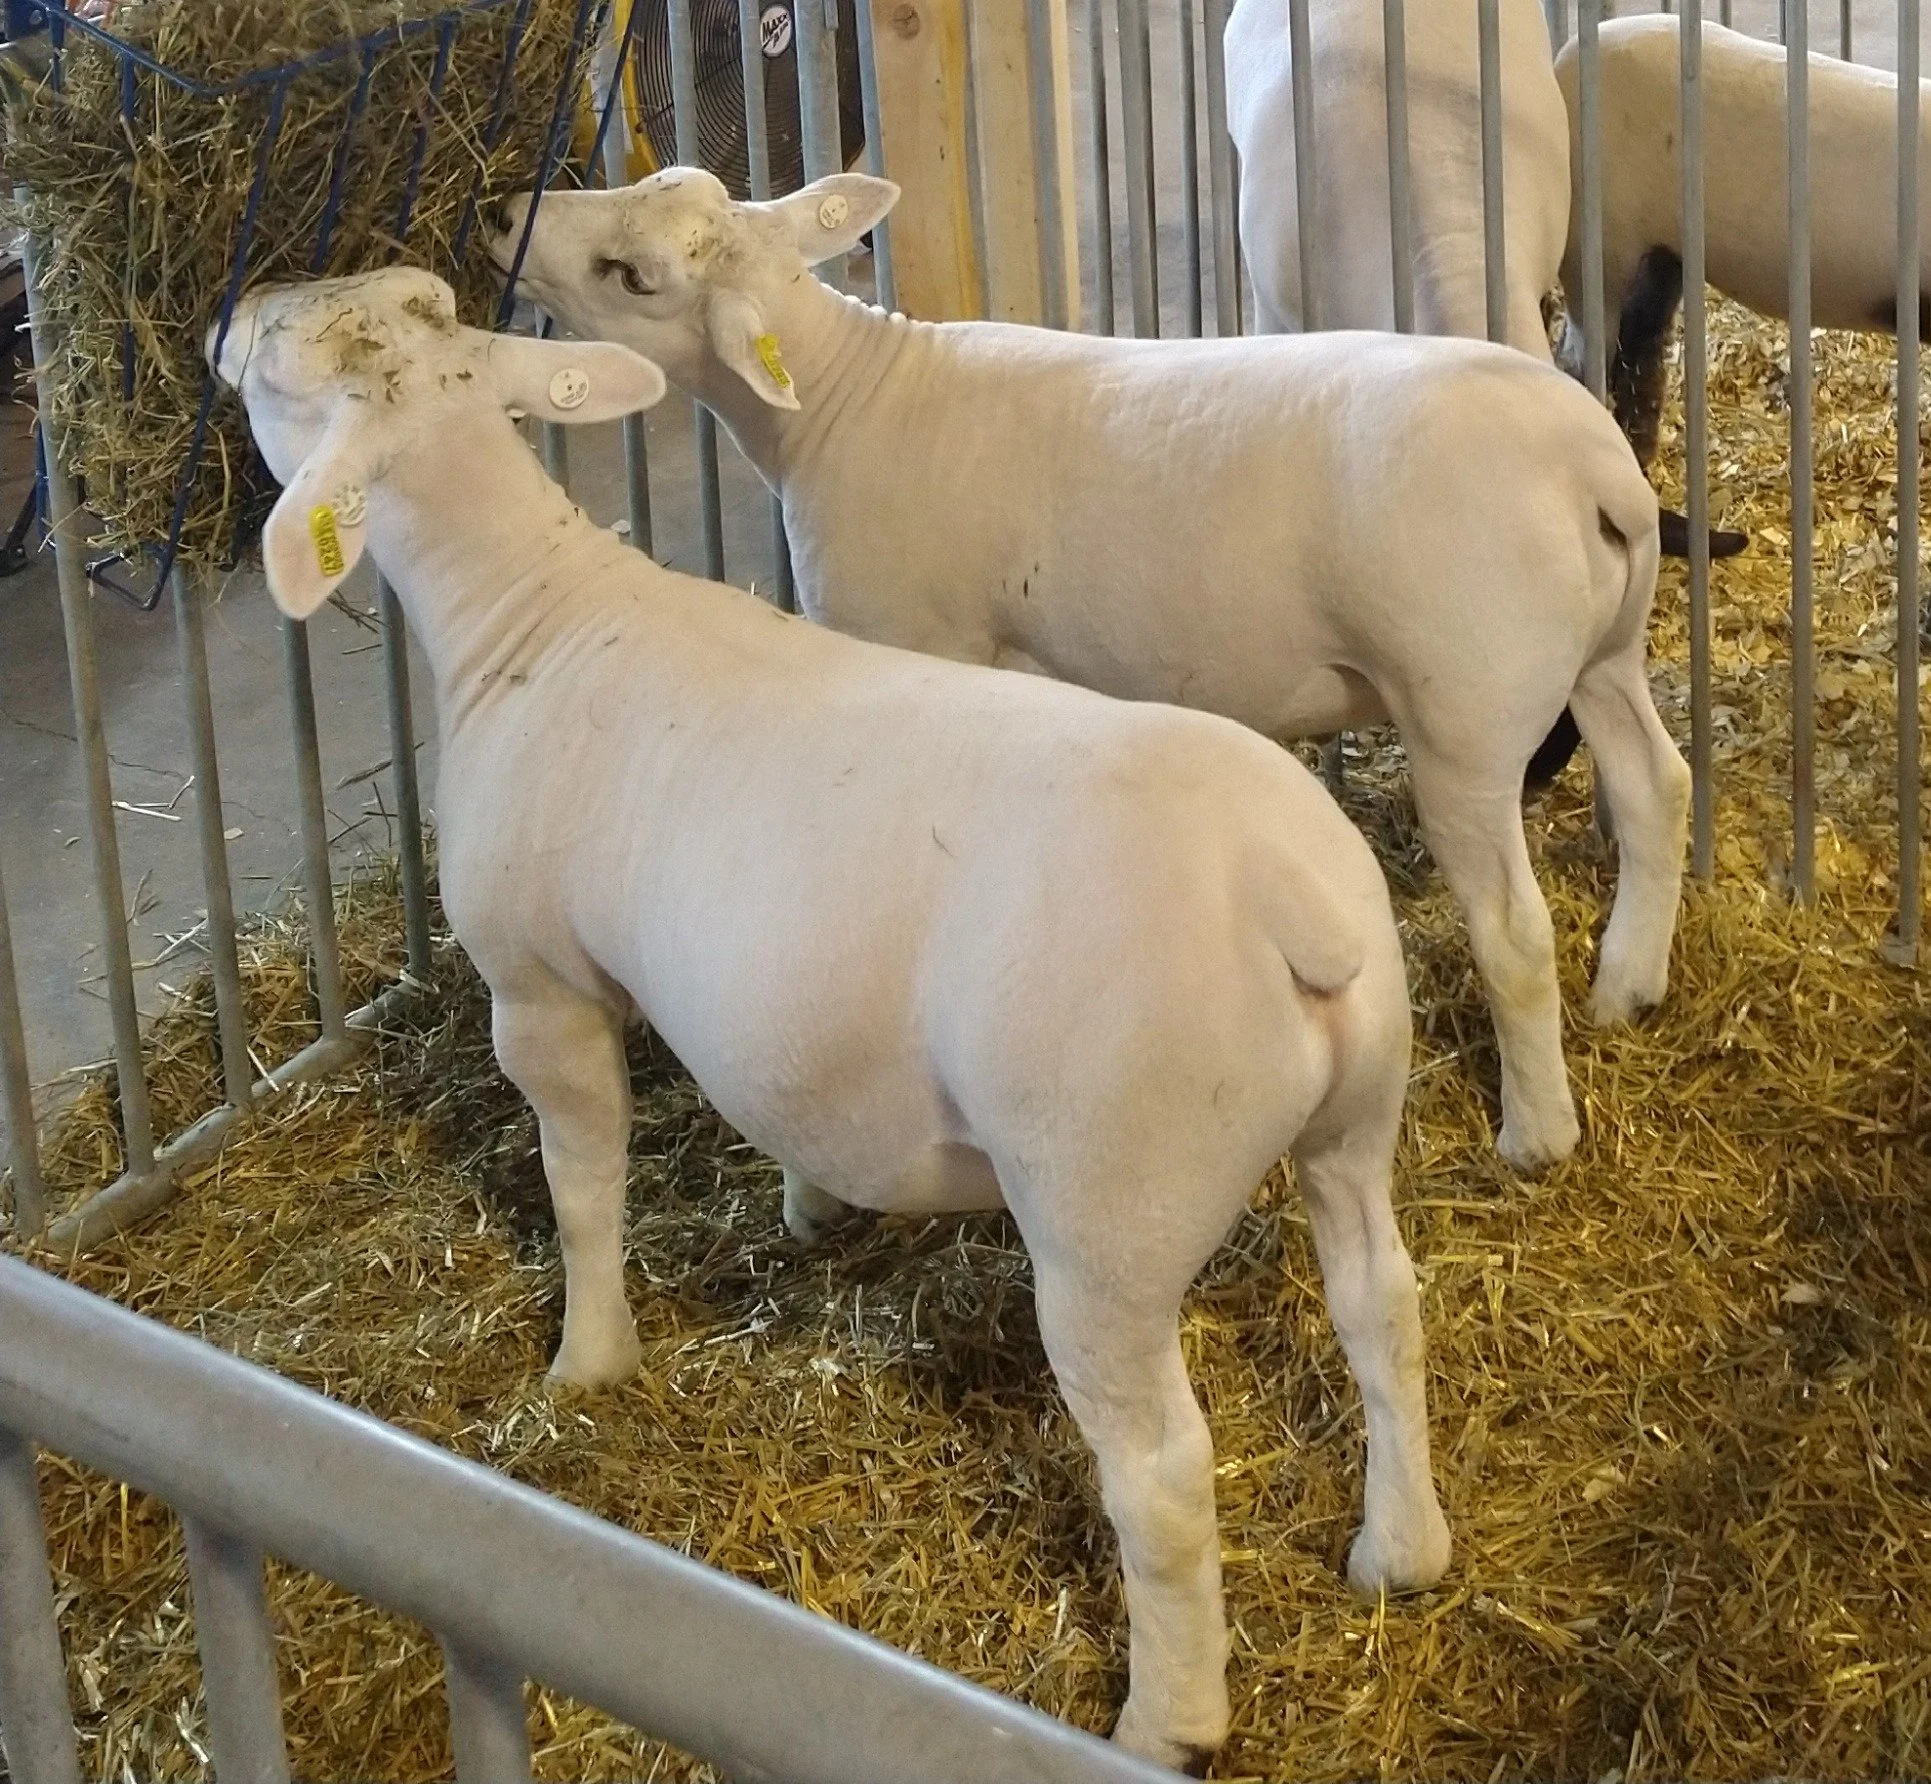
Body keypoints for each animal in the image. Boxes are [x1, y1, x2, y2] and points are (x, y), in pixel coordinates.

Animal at [211, 265, 1452, 1772]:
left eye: (294, 362)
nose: (230, 319)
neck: (529, 612)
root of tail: (1285, 899)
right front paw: (805, 1208)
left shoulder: (536, 986)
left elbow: (581, 1179)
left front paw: (586, 1360)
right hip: (1355, 1107)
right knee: (1381, 1305)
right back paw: (1399, 1552)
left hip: (1108, 1203)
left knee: (1158, 1470)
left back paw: (1163, 1716)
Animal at [494, 168, 1693, 1178]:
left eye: (632, 276)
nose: (508, 211)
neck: (842, 399)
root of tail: (1595, 473)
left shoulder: (912, 635)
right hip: (1601, 653)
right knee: (1655, 784)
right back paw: (1629, 983)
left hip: (1465, 711)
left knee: (1515, 931)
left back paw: (1536, 1131)